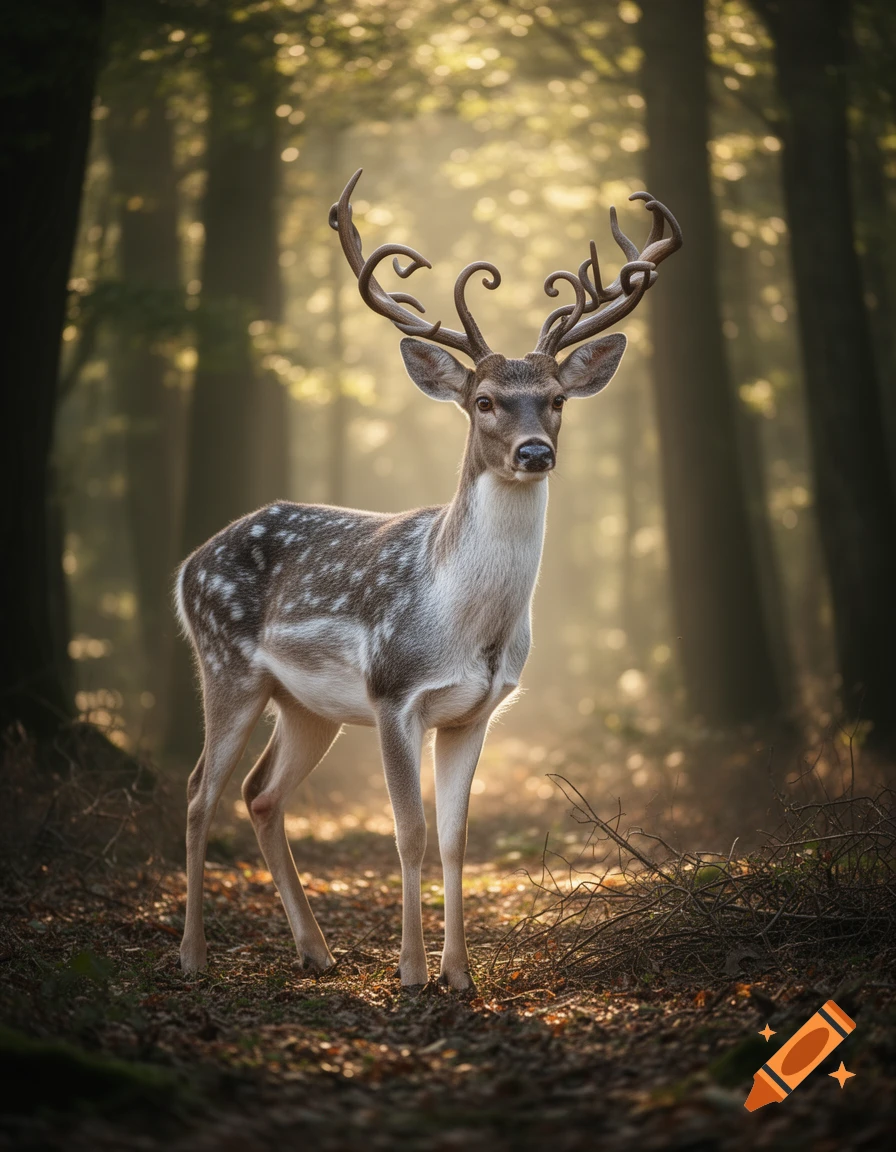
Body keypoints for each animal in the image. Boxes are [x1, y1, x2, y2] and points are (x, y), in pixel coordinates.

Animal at [175, 169, 681, 989]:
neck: (462, 623)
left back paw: (316, 949)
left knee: (260, 793)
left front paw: (461, 974)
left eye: (557, 400)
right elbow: (407, 833)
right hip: (225, 665)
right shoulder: (393, 691)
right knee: (198, 792)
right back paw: (191, 954)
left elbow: (454, 838)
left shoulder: (475, 711)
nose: (535, 451)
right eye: (484, 402)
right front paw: (412, 971)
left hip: (305, 705)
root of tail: (187, 564)